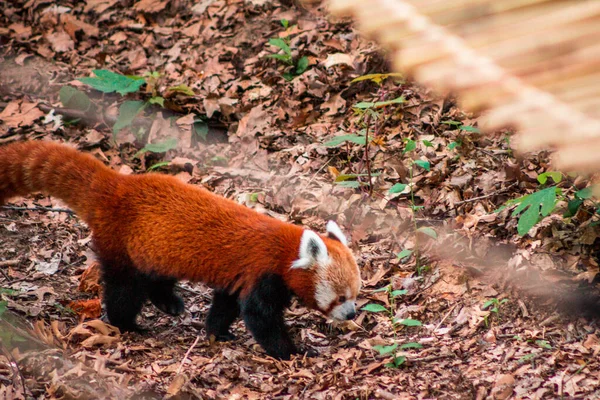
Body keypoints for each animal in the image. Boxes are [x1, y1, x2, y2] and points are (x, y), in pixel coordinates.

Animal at [0, 141, 360, 360]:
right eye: (341, 297)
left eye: (356, 294)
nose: (353, 314)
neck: (287, 250)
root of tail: (117, 185)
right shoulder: (262, 272)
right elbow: (260, 317)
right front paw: (291, 351)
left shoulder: (240, 277)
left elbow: (226, 304)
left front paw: (218, 332)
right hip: (121, 242)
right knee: (124, 289)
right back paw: (128, 324)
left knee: (154, 278)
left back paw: (168, 302)